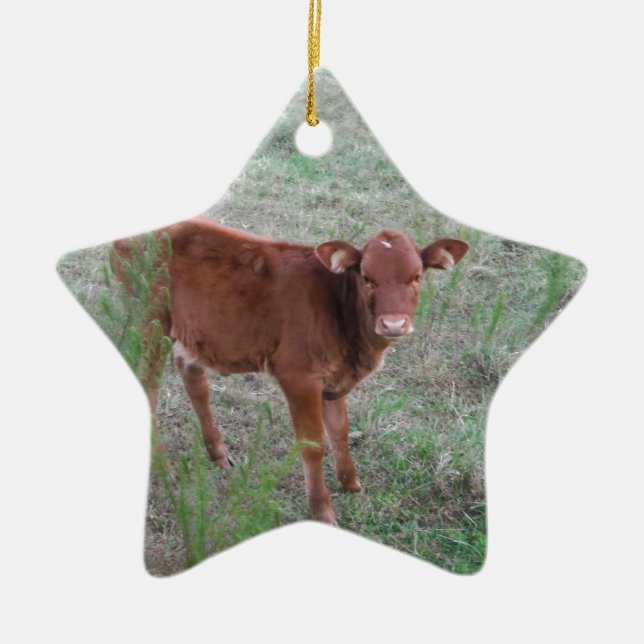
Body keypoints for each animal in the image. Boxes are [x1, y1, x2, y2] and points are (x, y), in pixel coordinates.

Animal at [113, 217, 469, 524]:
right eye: (367, 277)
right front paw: (322, 510)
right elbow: (313, 444)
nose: (394, 324)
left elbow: (340, 432)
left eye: (417, 276)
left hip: (189, 331)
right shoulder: (298, 376)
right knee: (148, 387)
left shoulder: (334, 379)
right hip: (150, 322)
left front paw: (352, 485)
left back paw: (218, 453)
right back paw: (161, 465)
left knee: (193, 378)